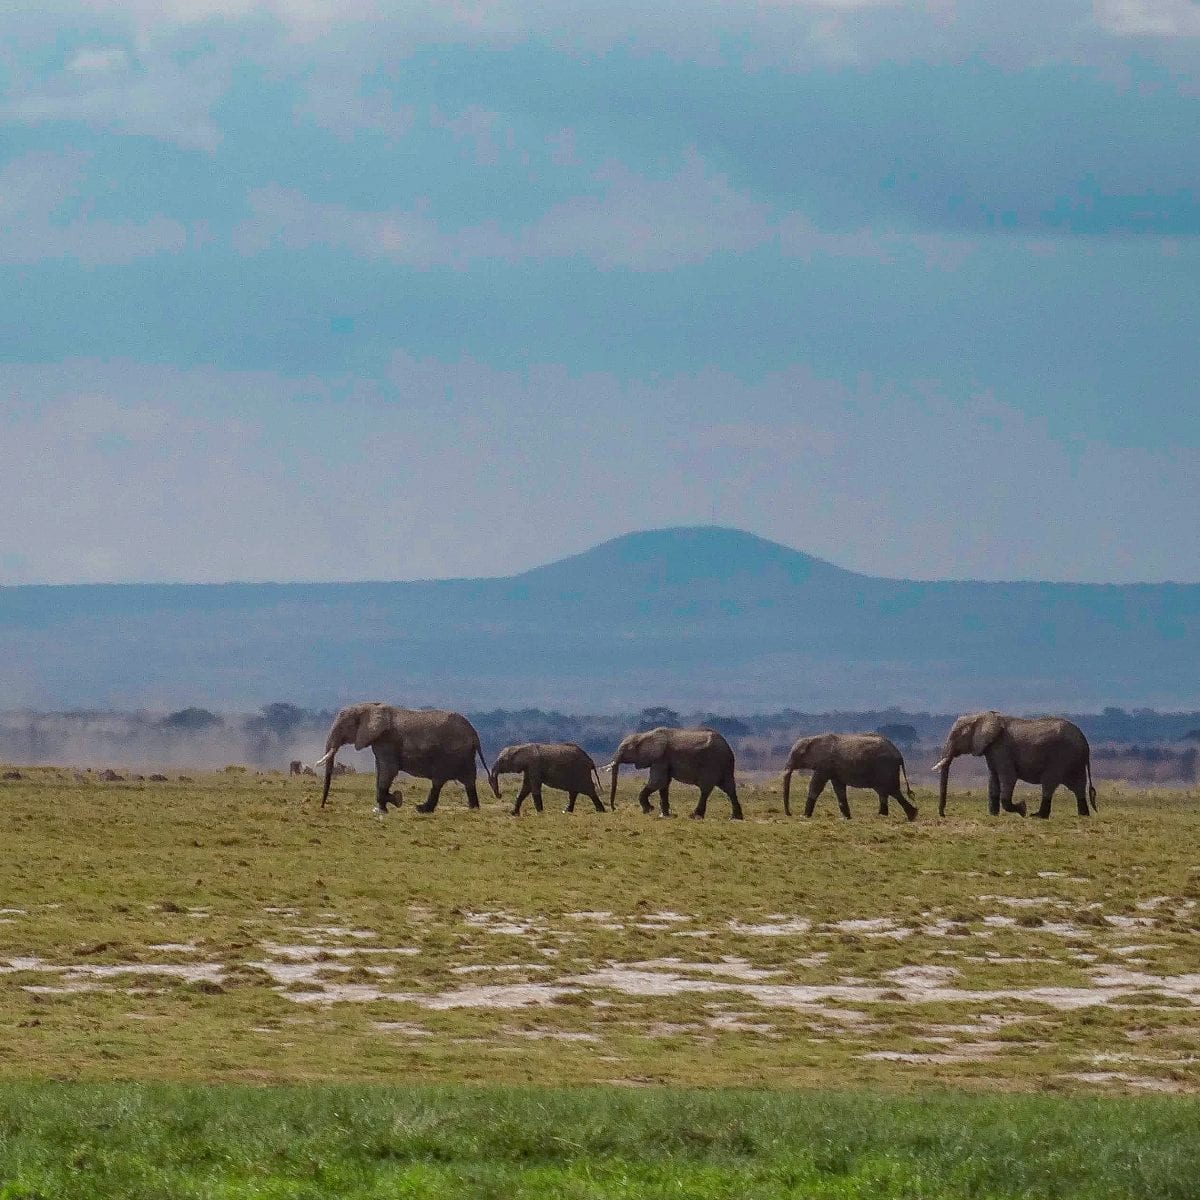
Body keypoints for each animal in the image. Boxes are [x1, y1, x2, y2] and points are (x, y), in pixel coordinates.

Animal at [314, 700, 496, 816]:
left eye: (343, 726)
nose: (322, 806)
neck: (370, 706)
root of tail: (475, 735)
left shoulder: (387, 740)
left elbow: (388, 770)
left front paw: (395, 801)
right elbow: (381, 770)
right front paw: (382, 808)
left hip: (453, 754)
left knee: (440, 781)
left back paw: (422, 809)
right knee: (466, 781)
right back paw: (472, 809)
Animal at [609, 724, 739, 820]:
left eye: (626, 749)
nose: (614, 809)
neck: (644, 735)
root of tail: (728, 748)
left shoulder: (661, 758)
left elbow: (658, 782)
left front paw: (648, 810)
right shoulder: (663, 760)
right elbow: (664, 784)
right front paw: (664, 815)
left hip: (712, 763)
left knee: (705, 789)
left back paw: (694, 816)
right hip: (724, 766)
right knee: (729, 788)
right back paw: (735, 818)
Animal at [782, 724, 912, 820]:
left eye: (797, 755)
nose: (790, 814)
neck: (812, 738)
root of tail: (899, 753)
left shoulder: (824, 764)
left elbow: (816, 785)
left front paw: (804, 816)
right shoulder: (833, 769)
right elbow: (839, 788)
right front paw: (847, 818)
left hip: (885, 766)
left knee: (891, 789)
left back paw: (911, 815)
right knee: (884, 790)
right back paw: (882, 815)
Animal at [936, 705, 1099, 820]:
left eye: (957, 735)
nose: (943, 815)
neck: (983, 715)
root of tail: (1085, 742)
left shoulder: (1003, 749)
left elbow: (1008, 777)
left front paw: (1023, 809)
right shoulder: (992, 750)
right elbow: (993, 779)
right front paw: (993, 815)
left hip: (1062, 757)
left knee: (1049, 783)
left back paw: (1038, 816)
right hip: (1075, 761)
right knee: (1078, 786)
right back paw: (1083, 815)